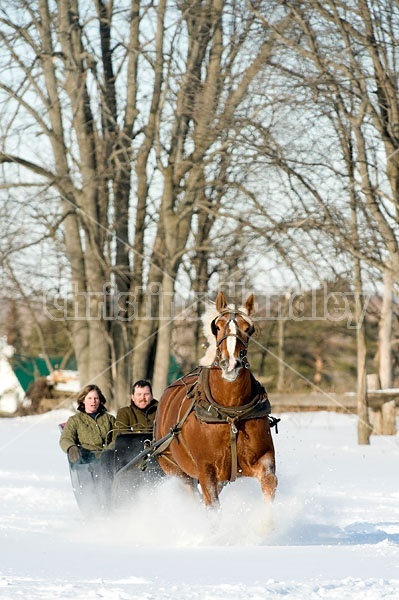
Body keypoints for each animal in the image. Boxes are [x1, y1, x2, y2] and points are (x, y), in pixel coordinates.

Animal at [153, 290, 278, 506]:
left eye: (248, 328)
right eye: (217, 327)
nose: (231, 364)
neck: (230, 412)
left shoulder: (264, 461)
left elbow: (269, 487)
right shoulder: (206, 471)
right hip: (175, 468)